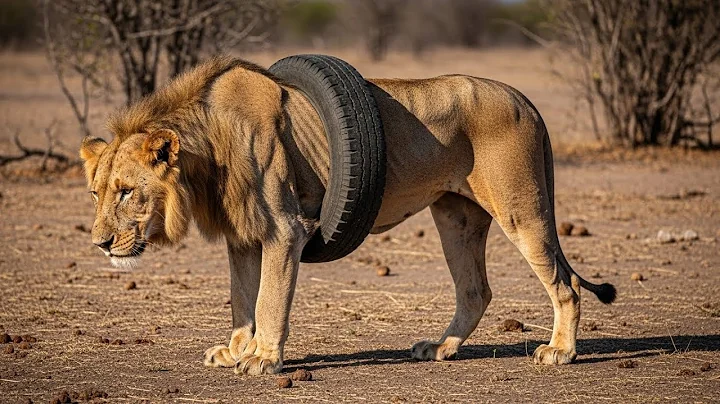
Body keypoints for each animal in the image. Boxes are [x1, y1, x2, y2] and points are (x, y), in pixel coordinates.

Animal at [80, 55, 616, 375]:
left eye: (126, 193)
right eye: (95, 193)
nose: (100, 244)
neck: (206, 152)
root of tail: (525, 100)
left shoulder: (284, 229)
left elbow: (269, 300)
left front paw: (263, 358)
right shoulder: (243, 234)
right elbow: (241, 298)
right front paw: (235, 349)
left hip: (520, 209)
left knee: (565, 285)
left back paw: (560, 351)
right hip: (456, 218)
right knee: (475, 289)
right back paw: (441, 348)